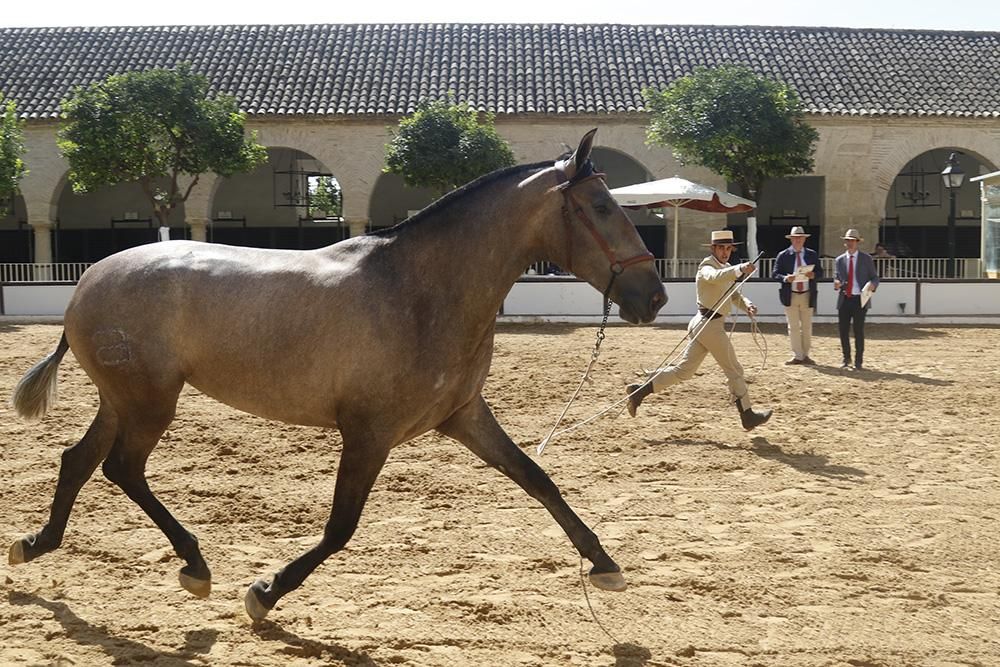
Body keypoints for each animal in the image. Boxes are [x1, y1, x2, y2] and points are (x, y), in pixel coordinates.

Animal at [9, 129, 664, 620]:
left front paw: (604, 564)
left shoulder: (463, 416)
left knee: (78, 460)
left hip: (123, 400)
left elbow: (537, 478)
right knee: (120, 468)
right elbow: (342, 526)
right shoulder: (369, 432)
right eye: (601, 207)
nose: (653, 296)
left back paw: (36, 545)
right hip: (149, 402)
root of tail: (89, 281)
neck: (420, 290)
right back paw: (194, 566)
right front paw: (265, 593)